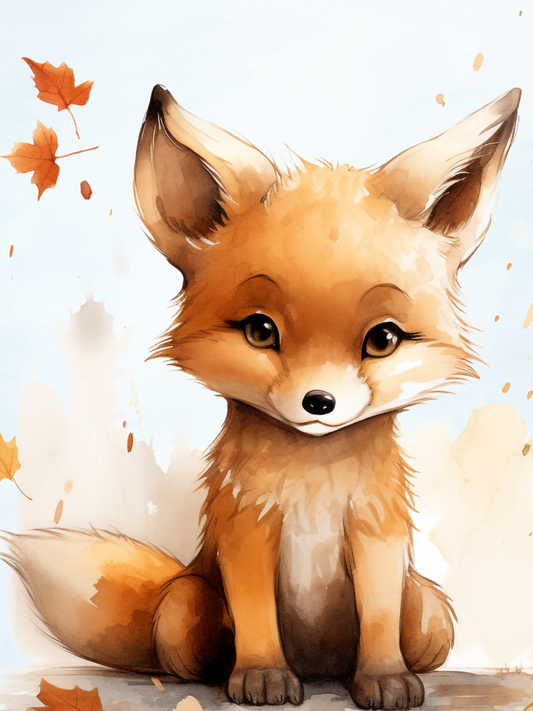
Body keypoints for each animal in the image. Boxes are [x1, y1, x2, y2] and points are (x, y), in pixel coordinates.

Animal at [2, 86, 520, 710]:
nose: (318, 403)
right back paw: (219, 676)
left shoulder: (376, 533)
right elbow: (255, 618)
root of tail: (320, 665)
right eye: (260, 330)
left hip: (431, 612)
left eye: (383, 339)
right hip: (181, 609)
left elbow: (378, 617)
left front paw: (383, 680)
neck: (314, 482)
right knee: (185, 660)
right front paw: (261, 676)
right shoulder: (246, 529)